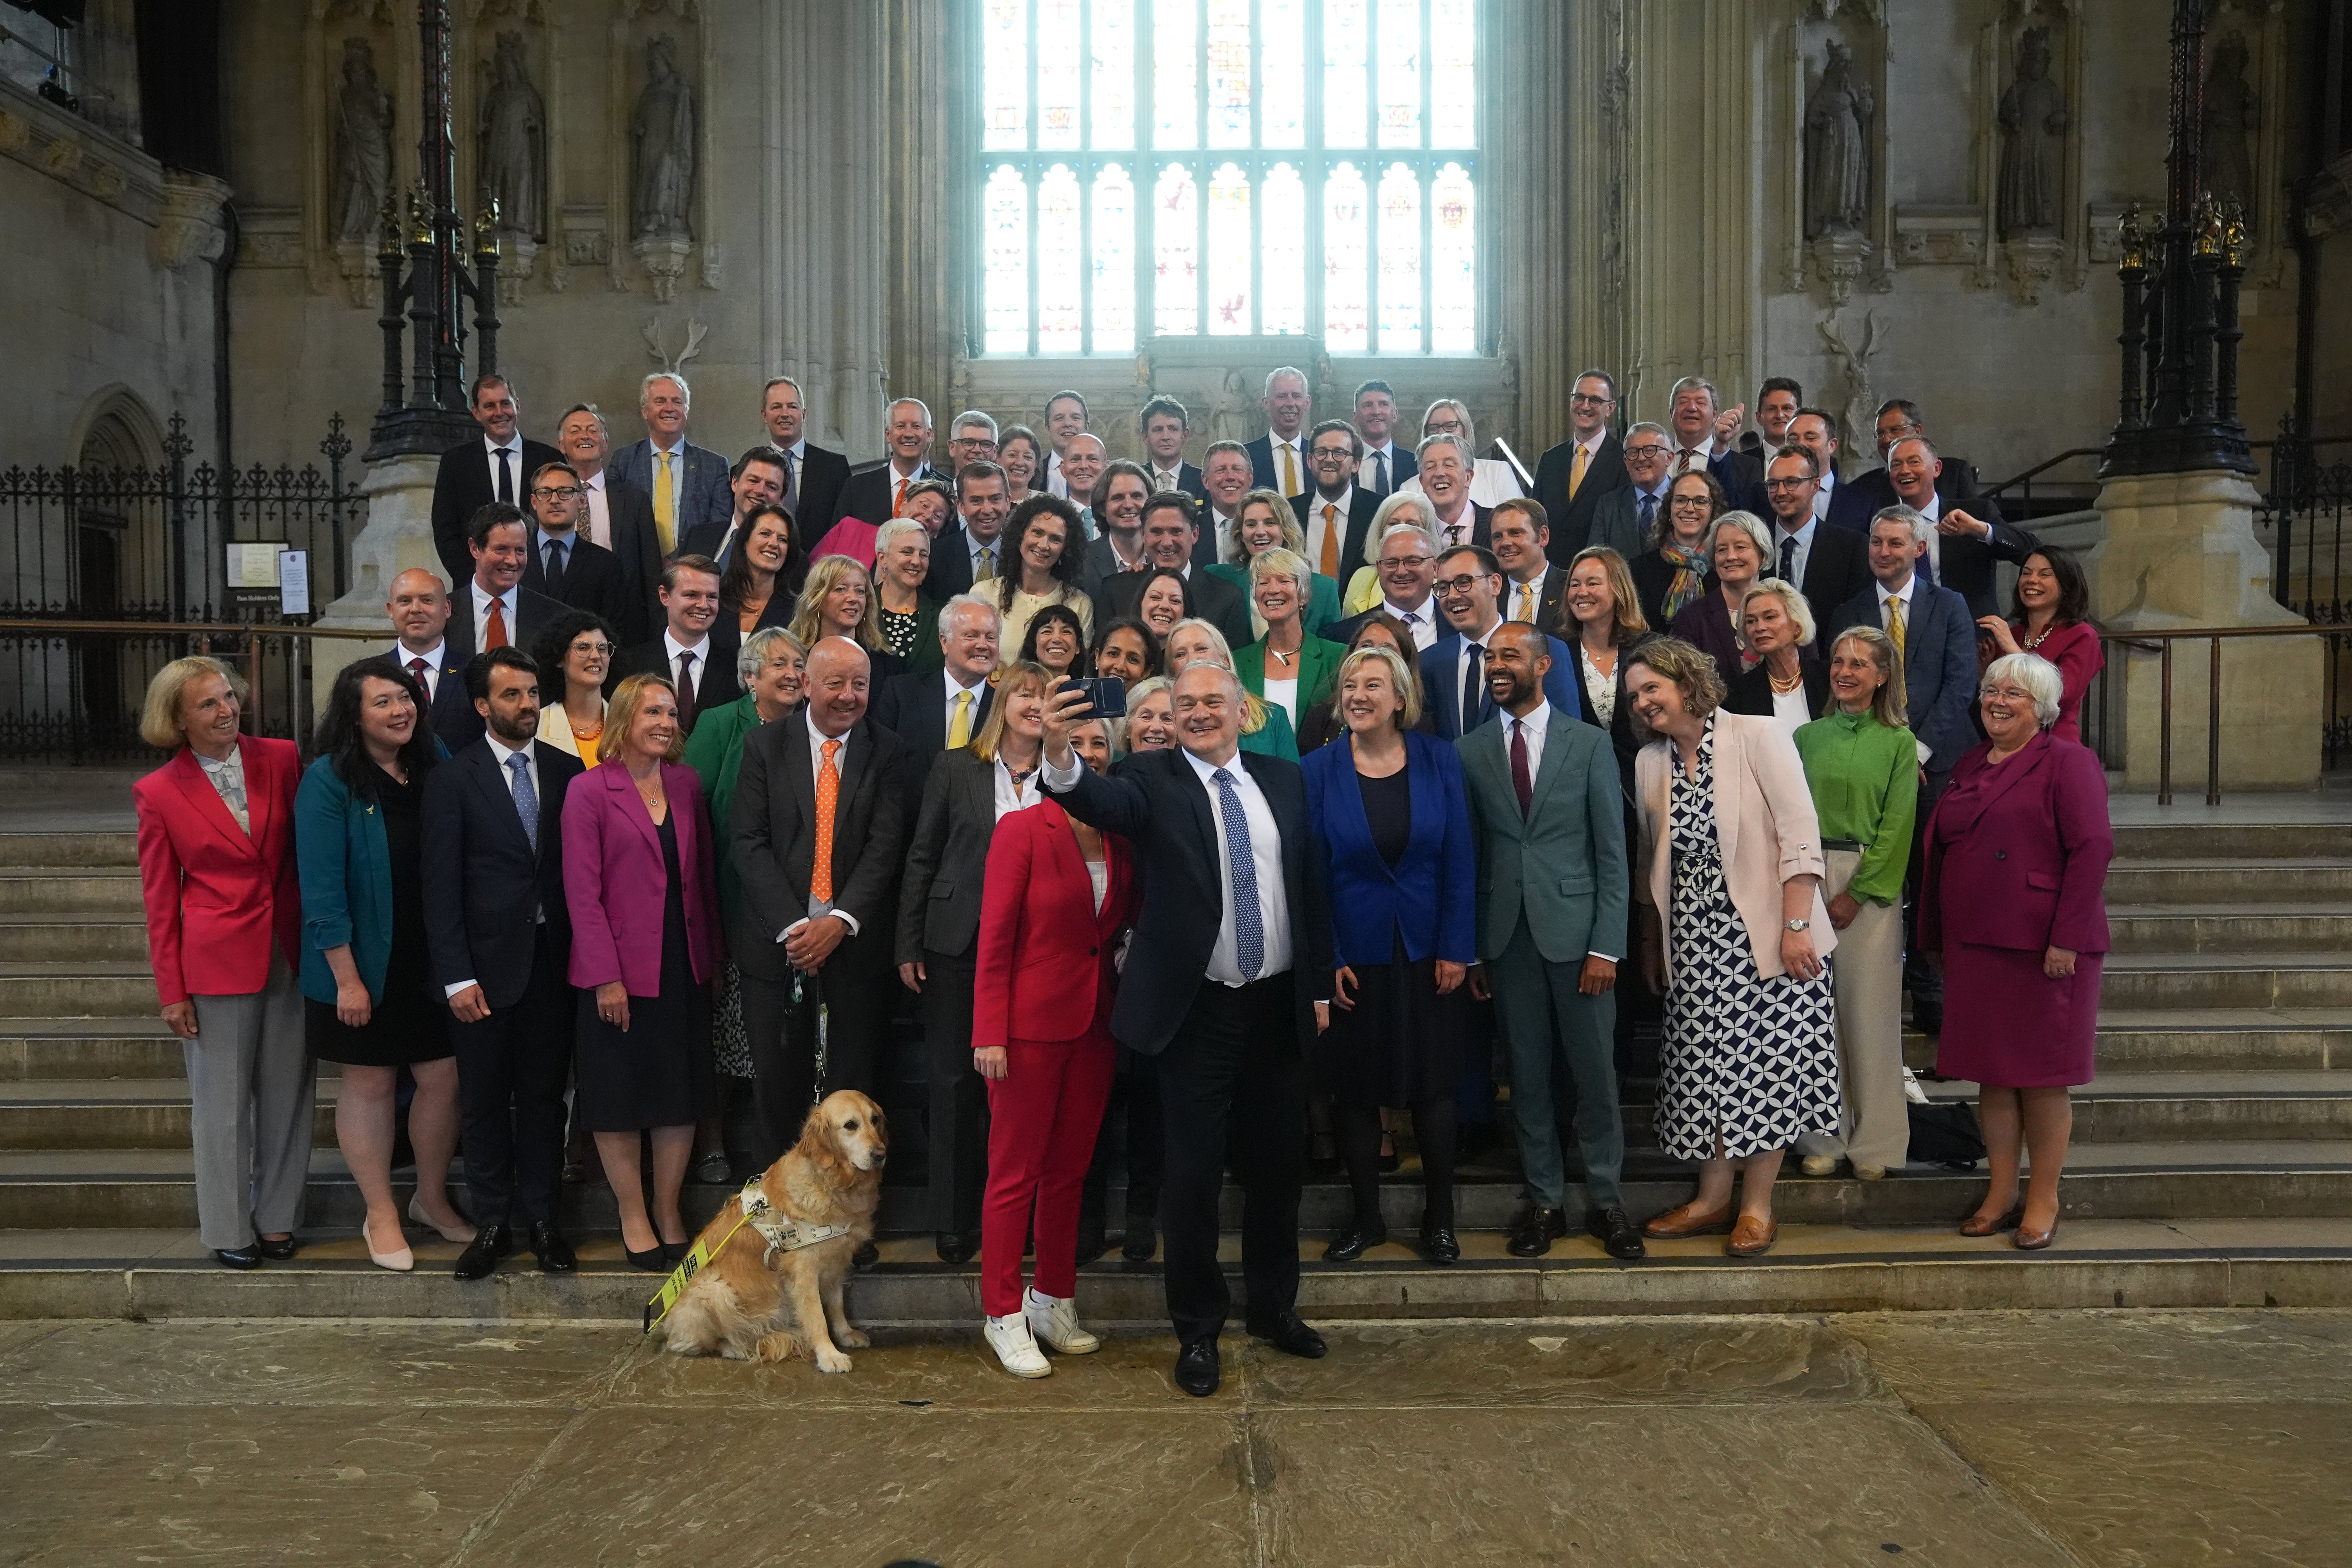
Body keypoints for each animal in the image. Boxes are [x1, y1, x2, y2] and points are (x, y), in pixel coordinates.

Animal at [659, 1091, 884, 1373]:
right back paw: (735, 1348)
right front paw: (829, 1355)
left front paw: (845, 1335)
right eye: (851, 1125)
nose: (881, 1154)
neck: (833, 1185)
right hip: (713, 1291)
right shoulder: (804, 1272)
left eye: (875, 1120)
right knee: (697, 1344)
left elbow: (836, 1306)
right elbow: (818, 1318)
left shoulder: (836, 1262)